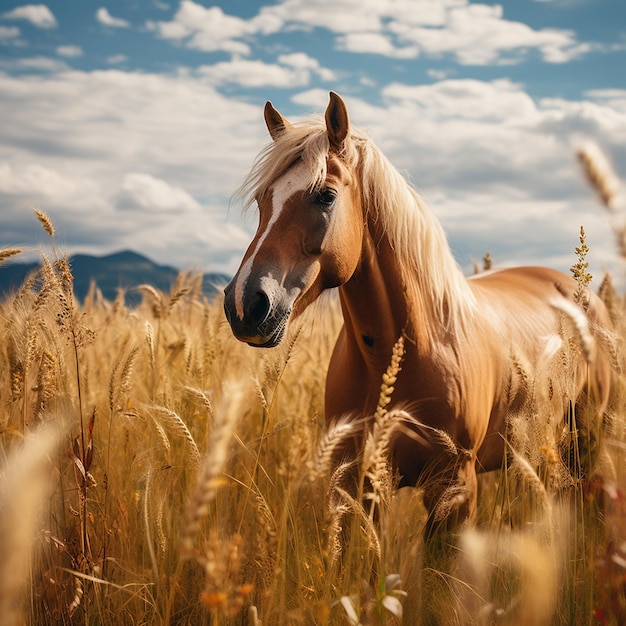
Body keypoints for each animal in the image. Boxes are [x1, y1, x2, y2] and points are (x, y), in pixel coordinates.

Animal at [222, 90, 612, 532]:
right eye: (262, 200)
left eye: (326, 195)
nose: (245, 303)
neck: (400, 352)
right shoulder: (354, 481)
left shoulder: (454, 487)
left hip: (586, 441)